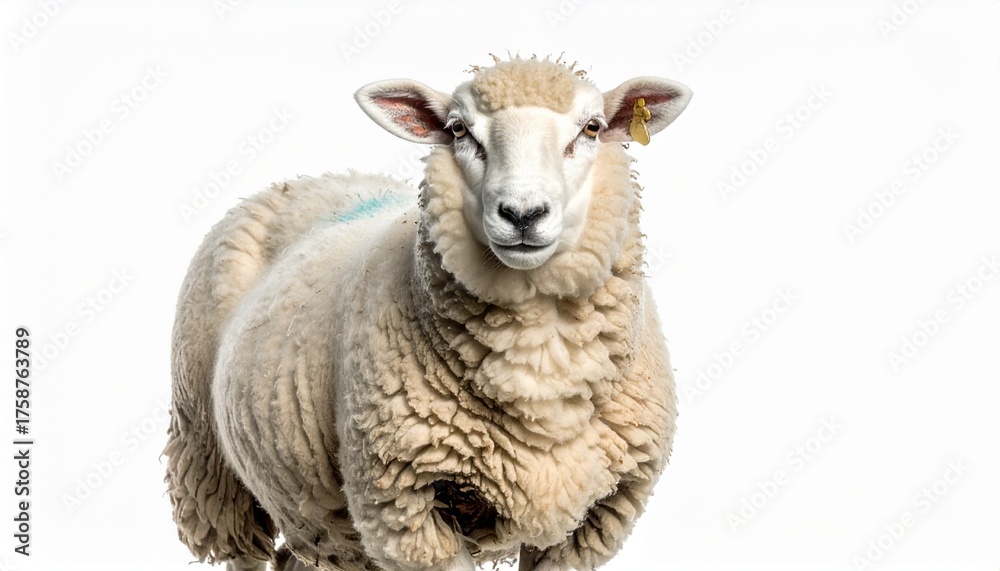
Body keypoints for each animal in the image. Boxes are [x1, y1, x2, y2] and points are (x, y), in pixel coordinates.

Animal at [164, 55, 691, 571]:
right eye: (458, 130)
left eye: (593, 128)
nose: (523, 214)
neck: (540, 369)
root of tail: (314, 180)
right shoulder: (405, 506)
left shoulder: (599, 516)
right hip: (210, 463)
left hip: (322, 521)